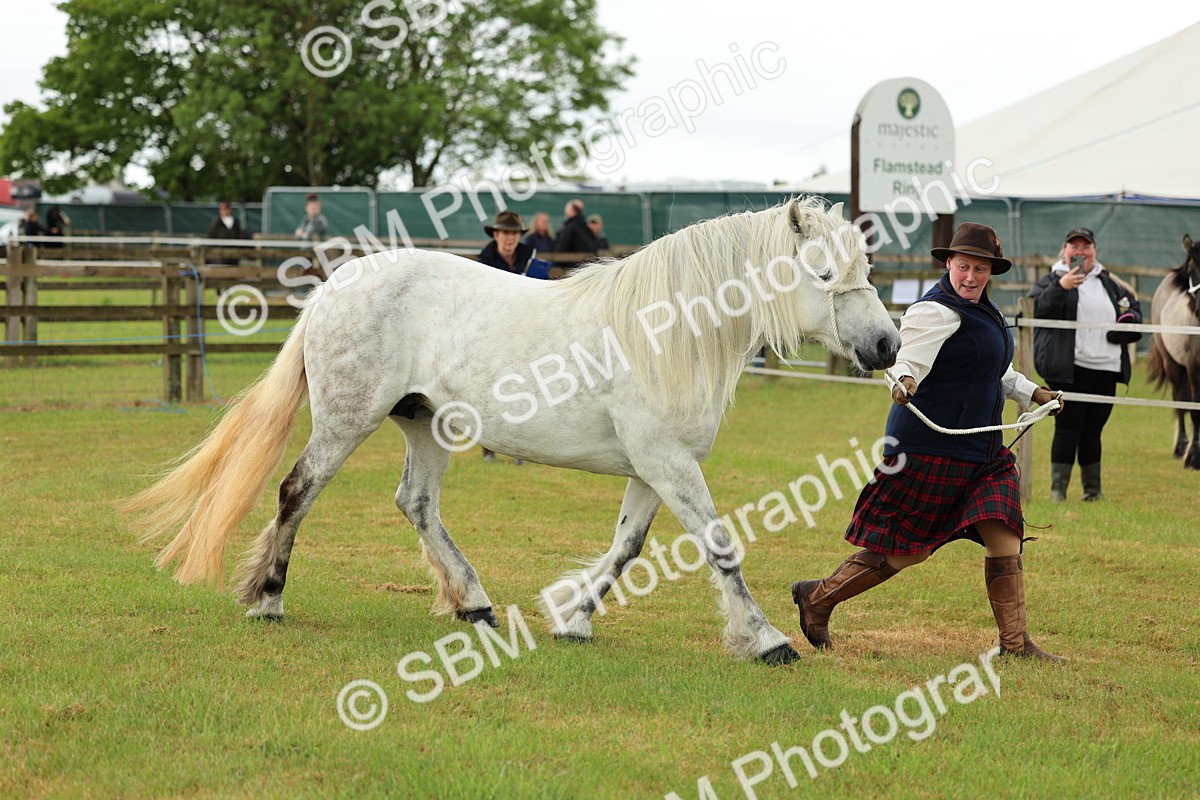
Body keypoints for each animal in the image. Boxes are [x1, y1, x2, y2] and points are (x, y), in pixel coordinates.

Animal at [124, 197, 901, 665]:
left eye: (865, 267)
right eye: (823, 272)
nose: (887, 345)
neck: (665, 331)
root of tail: (333, 289)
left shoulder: (652, 469)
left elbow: (626, 549)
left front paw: (572, 618)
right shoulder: (668, 463)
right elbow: (720, 547)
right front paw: (766, 639)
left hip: (426, 425)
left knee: (417, 504)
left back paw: (473, 603)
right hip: (349, 419)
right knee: (297, 491)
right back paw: (269, 599)